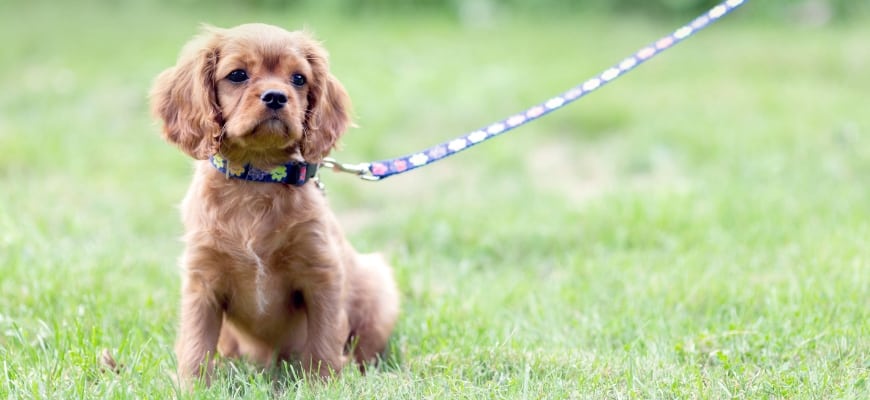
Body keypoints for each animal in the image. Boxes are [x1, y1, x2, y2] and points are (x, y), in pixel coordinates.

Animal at [151, 24, 402, 384]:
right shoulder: (202, 281)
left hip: (377, 285)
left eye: (298, 79)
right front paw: (193, 386)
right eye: (237, 75)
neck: (258, 179)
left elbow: (323, 339)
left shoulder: (322, 272)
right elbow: (196, 344)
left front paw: (322, 385)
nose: (275, 96)